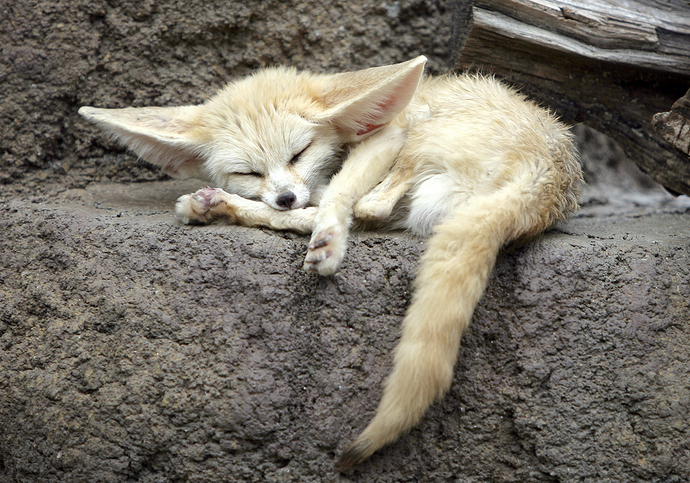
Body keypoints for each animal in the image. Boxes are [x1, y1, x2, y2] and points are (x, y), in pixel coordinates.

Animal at [78, 56, 583, 470]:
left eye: (298, 153)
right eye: (249, 171)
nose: (285, 195)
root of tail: (545, 178)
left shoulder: (385, 135)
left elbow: (340, 197)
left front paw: (326, 238)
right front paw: (245, 204)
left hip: (418, 134)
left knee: (367, 205)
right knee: (365, 210)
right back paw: (226, 207)